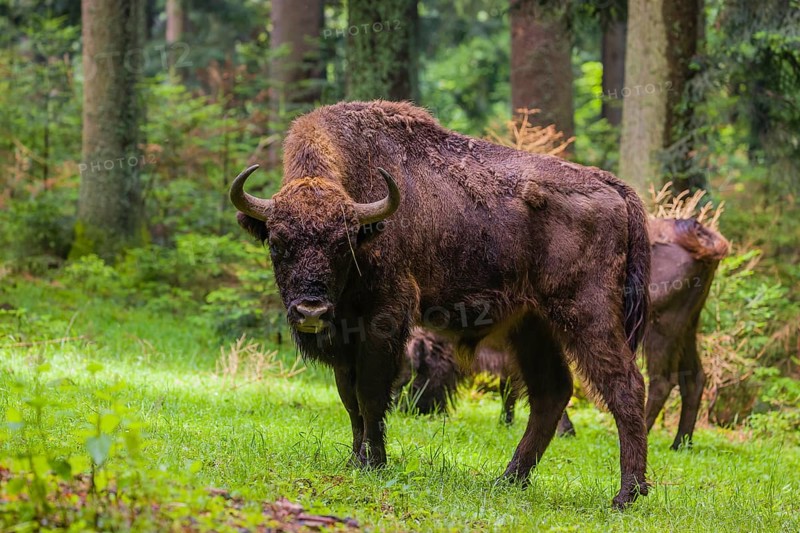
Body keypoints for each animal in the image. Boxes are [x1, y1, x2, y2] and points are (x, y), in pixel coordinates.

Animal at [230, 101, 651, 508]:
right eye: (277, 243)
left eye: (341, 245)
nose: (311, 312)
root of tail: (612, 187)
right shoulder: (345, 338)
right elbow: (350, 399)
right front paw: (354, 460)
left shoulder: (384, 320)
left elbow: (371, 394)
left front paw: (373, 463)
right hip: (531, 324)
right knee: (551, 391)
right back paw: (508, 479)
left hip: (587, 314)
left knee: (624, 385)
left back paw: (626, 495)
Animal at [400, 217, 728, 450]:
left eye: (414, 369)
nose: (411, 410)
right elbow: (514, 386)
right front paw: (507, 422)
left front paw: (562, 429)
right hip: (688, 328)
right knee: (693, 377)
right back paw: (680, 443)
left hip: (658, 330)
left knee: (662, 379)